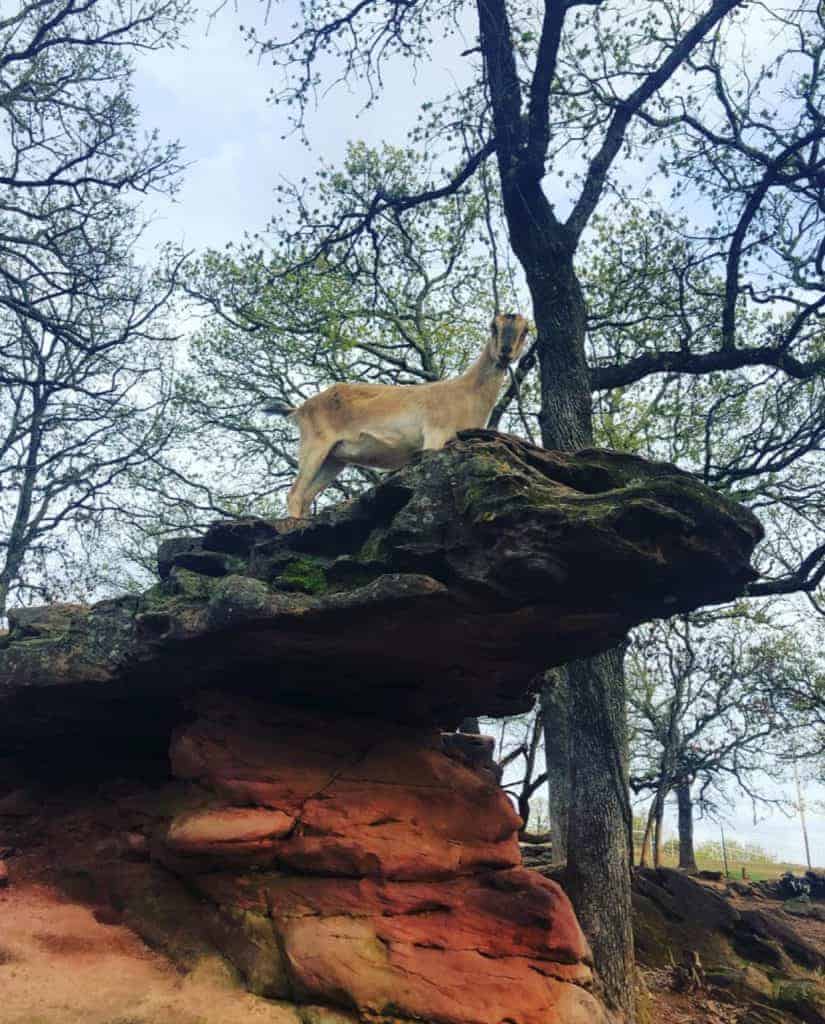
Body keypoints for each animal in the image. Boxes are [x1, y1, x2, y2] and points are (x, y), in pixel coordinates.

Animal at [268, 309, 532, 520]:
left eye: (525, 331)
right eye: (493, 326)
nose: (505, 353)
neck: (465, 394)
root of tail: (300, 409)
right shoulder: (435, 435)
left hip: (334, 459)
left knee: (306, 497)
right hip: (315, 445)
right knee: (294, 494)